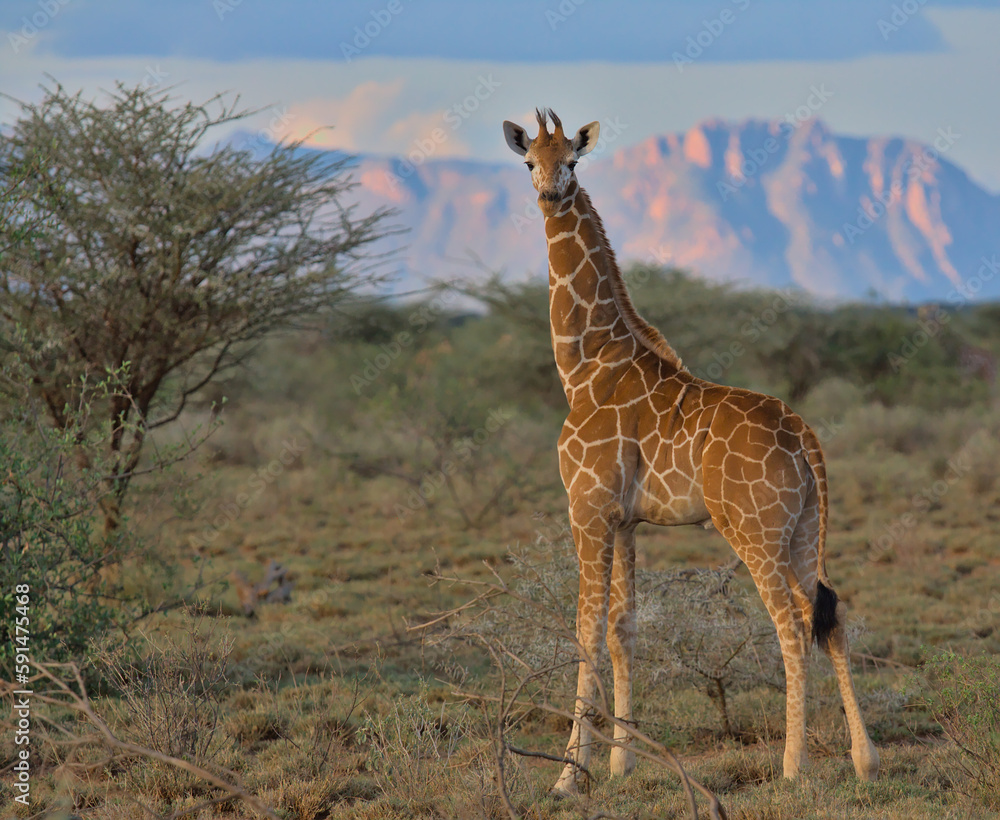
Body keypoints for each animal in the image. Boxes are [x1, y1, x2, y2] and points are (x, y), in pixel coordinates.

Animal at [502, 109, 879, 795]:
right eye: (528, 162)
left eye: (572, 160)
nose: (549, 193)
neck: (584, 367)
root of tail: (804, 435)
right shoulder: (625, 520)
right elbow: (622, 628)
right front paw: (622, 762)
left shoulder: (586, 507)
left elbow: (585, 630)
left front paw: (569, 775)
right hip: (803, 527)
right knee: (830, 615)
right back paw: (865, 760)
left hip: (753, 527)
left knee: (791, 623)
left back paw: (793, 767)